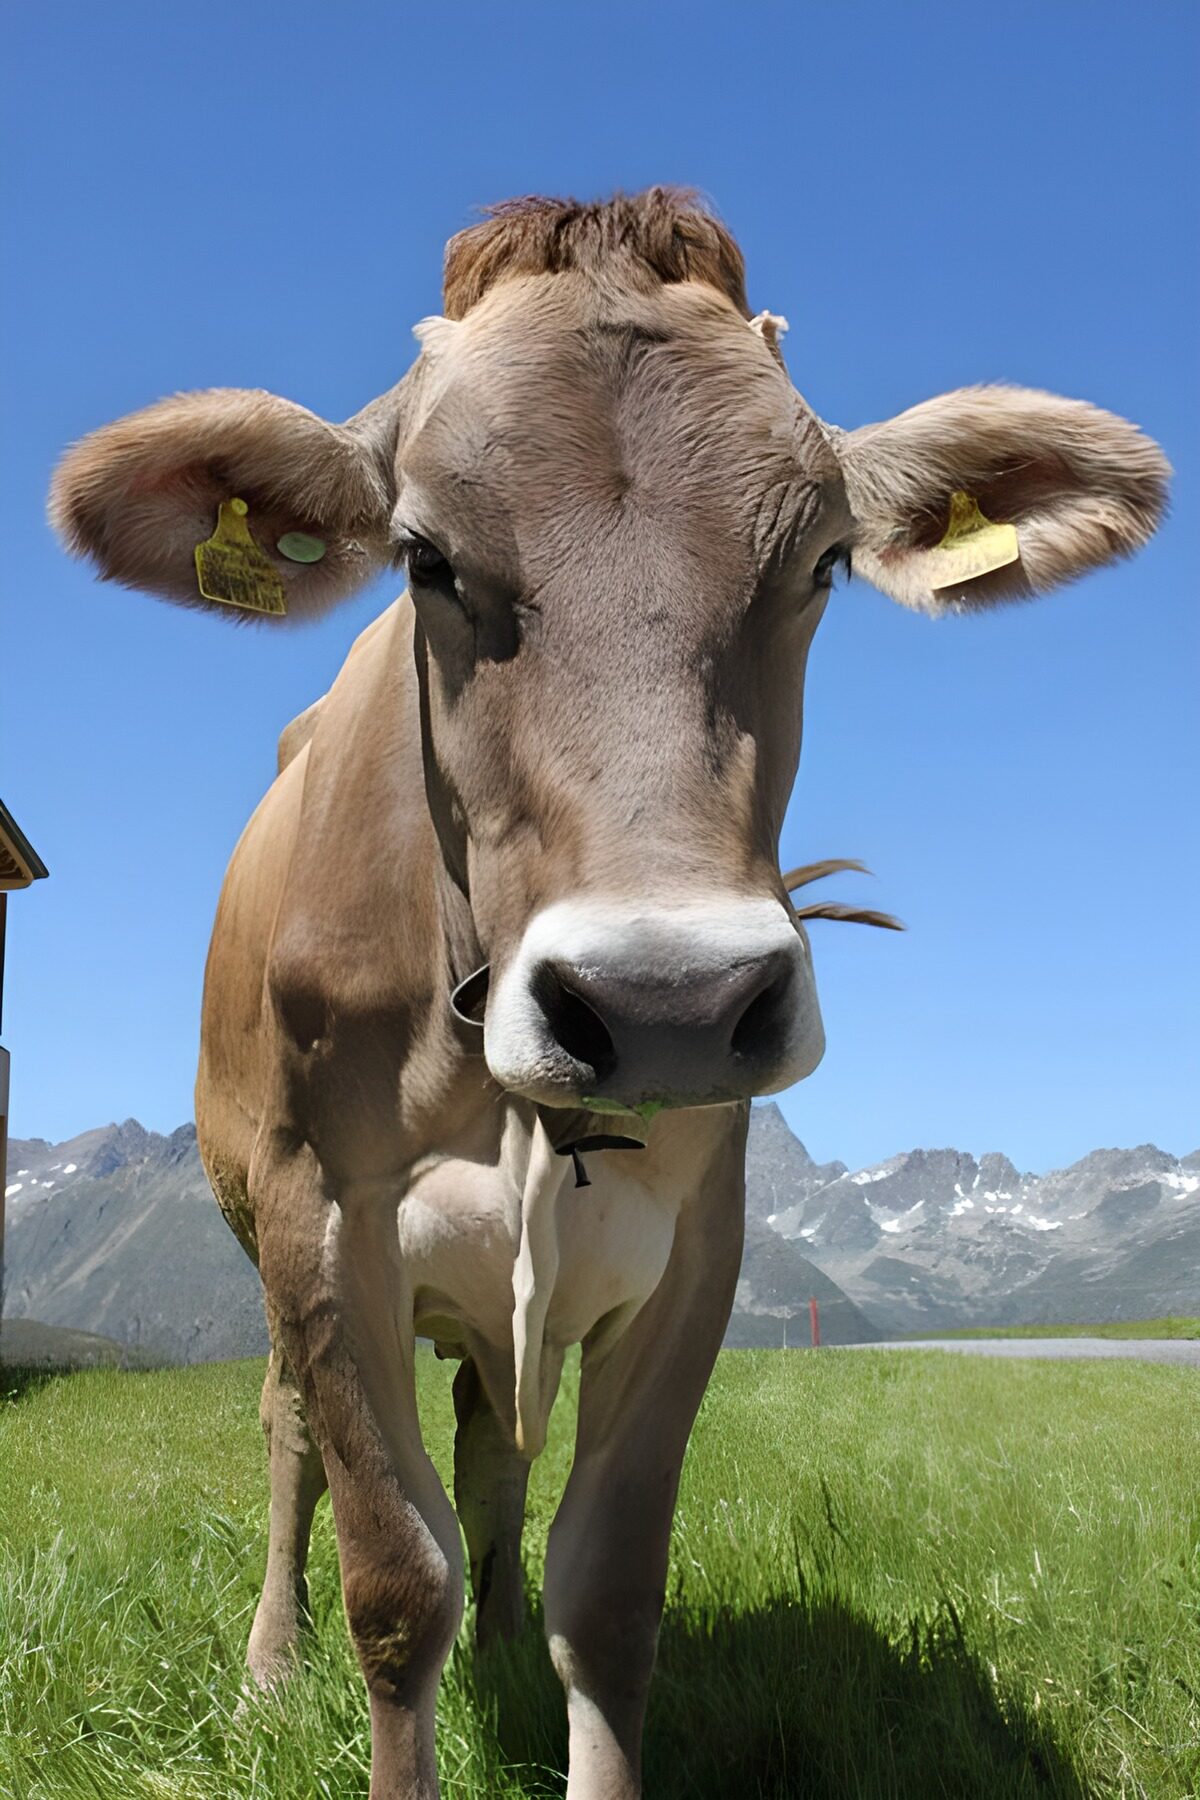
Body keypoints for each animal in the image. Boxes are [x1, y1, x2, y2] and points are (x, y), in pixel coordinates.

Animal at [50, 190, 1168, 1800]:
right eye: (423, 557)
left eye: (822, 560)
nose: (669, 1003)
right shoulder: (323, 1213)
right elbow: (396, 1581)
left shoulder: (700, 1234)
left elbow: (609, 1585)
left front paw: (541, 1637)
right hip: (260, 1227)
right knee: (286, 1439)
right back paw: (268, 1665)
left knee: (492, 1449)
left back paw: (504, 1632)